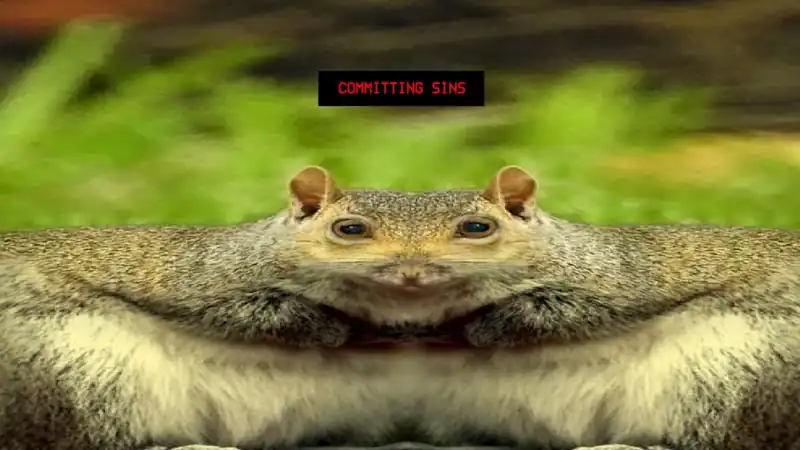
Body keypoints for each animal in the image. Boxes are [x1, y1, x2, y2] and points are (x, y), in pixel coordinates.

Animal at [1, 164, 799, 450]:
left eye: (479, 227)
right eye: (347, 229)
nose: (413, 273)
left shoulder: (607, 280)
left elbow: (553, 312)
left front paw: (474, 325)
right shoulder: (215, 279)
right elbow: (264, 313)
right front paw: (341, 326)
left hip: (739, 367)